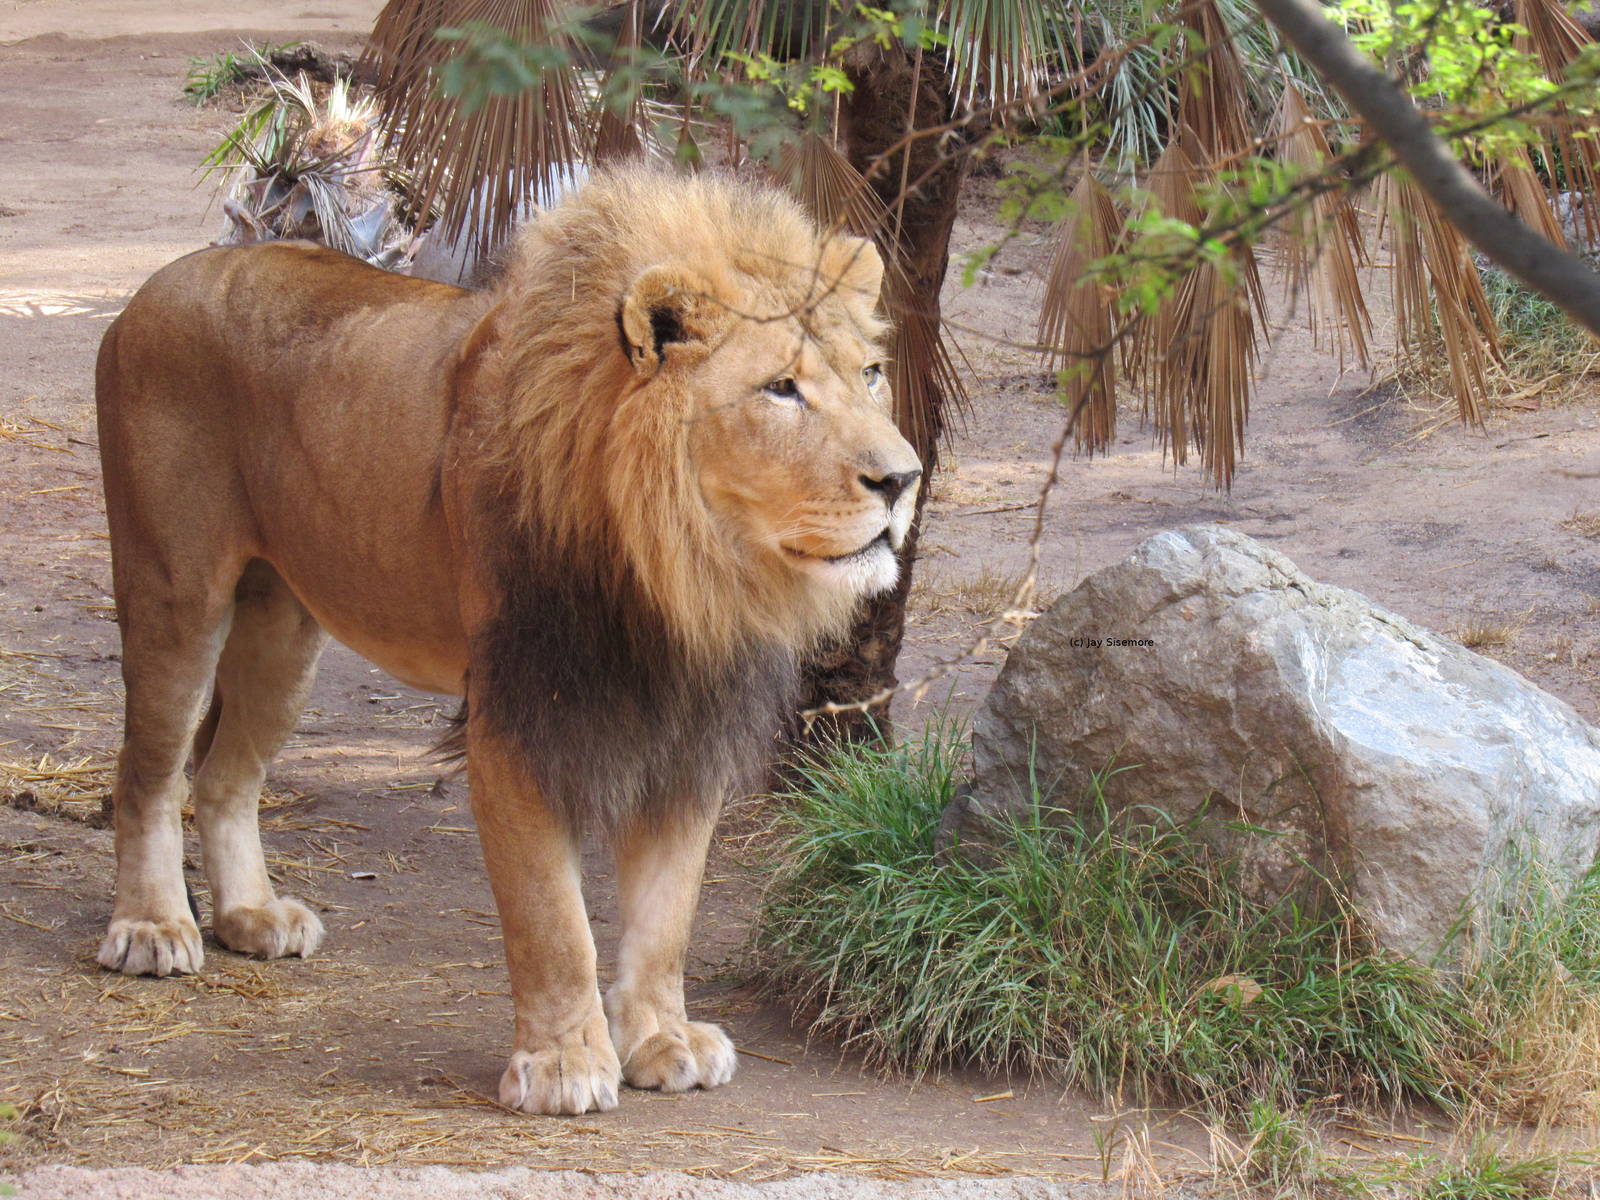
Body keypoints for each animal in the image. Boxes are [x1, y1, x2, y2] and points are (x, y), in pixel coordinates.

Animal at [91, 167, 920, 1115]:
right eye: (781, 388)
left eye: (871, 374)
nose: (903, 478)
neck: (683, 571)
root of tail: (157, 284)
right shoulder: (516, 722)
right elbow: (553, 920)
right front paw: (562, 1064)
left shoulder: (688, 726)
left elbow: (666, 914)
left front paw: (662, 1039)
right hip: (177, 595)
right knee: (149, 771)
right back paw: (153, 926)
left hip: (282, 632)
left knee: (224, 774)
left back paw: (251, 917)